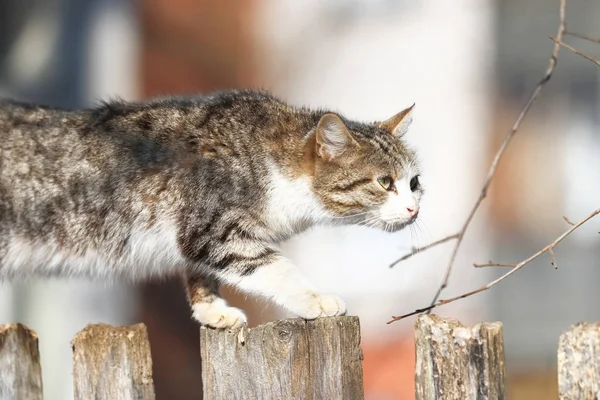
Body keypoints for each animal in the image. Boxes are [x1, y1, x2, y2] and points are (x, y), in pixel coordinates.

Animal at [0, 90, 422, 328]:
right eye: (385, 182)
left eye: (415, 182)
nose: (414, 209)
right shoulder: (213, 228)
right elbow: (272, 266)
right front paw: (314, 299)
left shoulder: (200, 234)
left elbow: (200, 269)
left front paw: (211, 309)